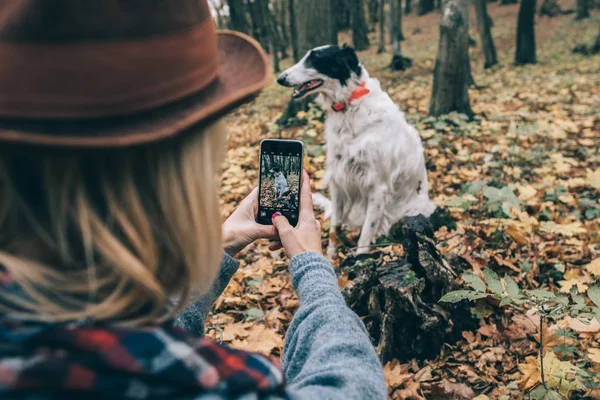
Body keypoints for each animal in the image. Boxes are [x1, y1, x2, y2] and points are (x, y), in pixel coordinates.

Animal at [276, 43, 436, 256]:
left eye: (314, 59)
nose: (280, 78)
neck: (349, 105)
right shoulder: (339, 182)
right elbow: (334, 230)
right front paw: (330, 256)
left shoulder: (378, 187)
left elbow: (365, 234)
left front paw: (359, 258)